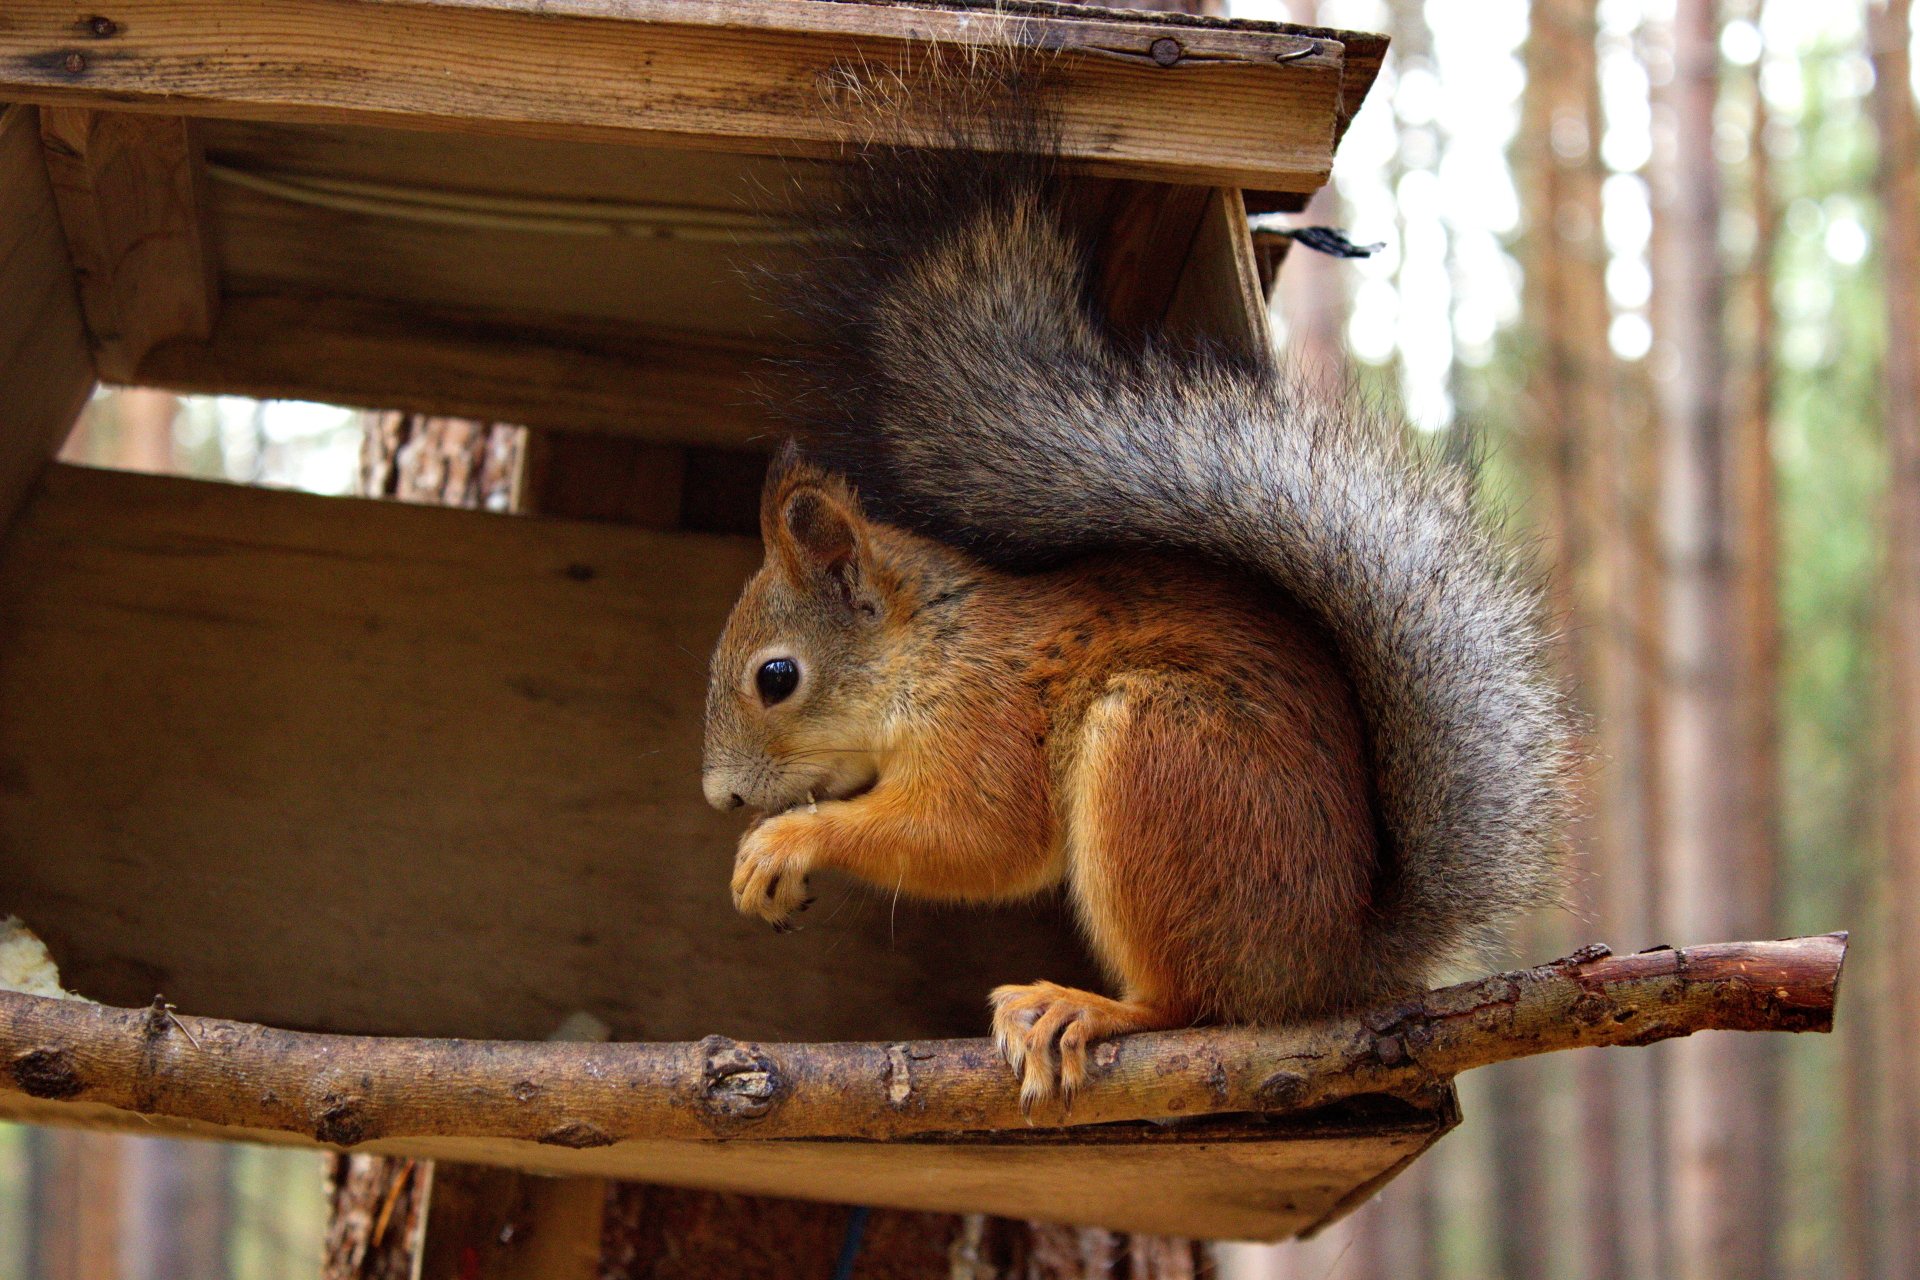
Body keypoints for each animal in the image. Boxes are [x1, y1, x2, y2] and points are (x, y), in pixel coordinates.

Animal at [700, 56, 1574, 1109]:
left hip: (1160, 753)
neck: (930, 647)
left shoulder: (988, 721)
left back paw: (1086, 1007)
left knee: (1190, 1002)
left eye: (775, 678)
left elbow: (980, 839)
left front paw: (787, 842)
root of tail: (1329, 969)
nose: (722, 798)